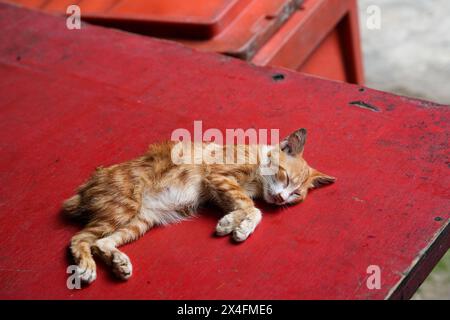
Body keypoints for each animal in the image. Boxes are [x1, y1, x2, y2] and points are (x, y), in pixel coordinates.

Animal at [64, 129, 338, 284]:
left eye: (295, 195)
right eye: (286, 178)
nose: (282, 199)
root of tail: (87, 186)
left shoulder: (217, 189)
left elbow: (247, 206)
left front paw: (232, 223)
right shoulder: (217, 176)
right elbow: (252, 206)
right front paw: (237, 225)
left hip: (140, 222)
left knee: (101, 242)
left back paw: (119, 263)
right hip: (123, 208)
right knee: (79, 239)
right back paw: (86, 268)